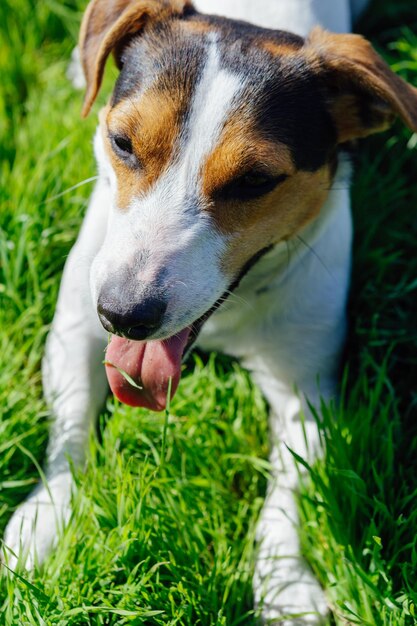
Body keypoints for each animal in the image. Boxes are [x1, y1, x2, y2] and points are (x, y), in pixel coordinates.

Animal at [3, 0, 416, 620]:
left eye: (256, 180)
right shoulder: (75, 325)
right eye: (121, 142)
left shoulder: (308, 388)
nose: (123, 315)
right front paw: (41, 524)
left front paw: (285, 584)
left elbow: (290, 489)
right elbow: (70, 434)